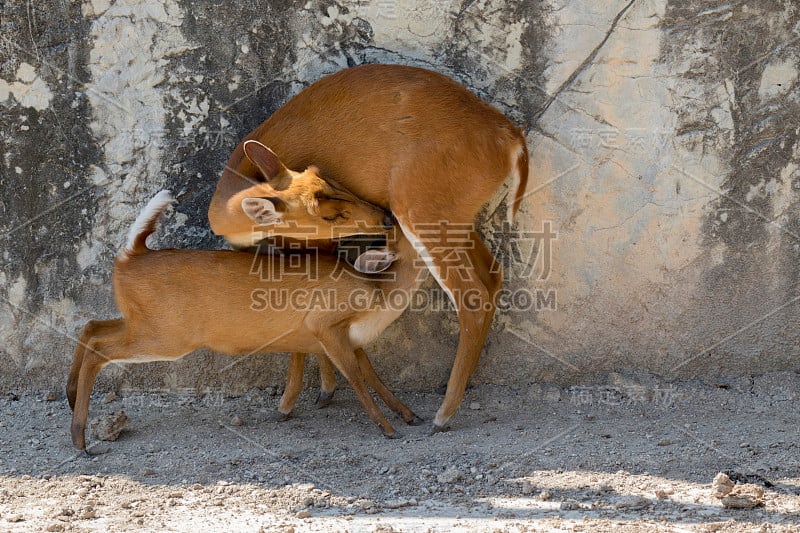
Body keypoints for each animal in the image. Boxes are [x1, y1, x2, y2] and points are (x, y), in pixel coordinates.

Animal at [69, 189, 424, 450]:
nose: (393, 216)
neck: (377, 297)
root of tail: (131, 255)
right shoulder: (324, 325)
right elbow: (356, 375)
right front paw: (388, 428)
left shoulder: (348, 337)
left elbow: (371, 374)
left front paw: (409, 415)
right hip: (168, 335)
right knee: (100, 348)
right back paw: (80, 438)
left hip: (145, 323)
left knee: (92, 327)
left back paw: (71, 400)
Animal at [209, 63, 528, 428]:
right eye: (331, 209)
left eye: (335, 183)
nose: (383, 218)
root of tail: (511, 136)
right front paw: (322, 391)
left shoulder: (312, 246)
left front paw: (290, 403)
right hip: (456, 216)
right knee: (492, 275)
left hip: (422, 211)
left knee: (472, 296)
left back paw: (443, 415)